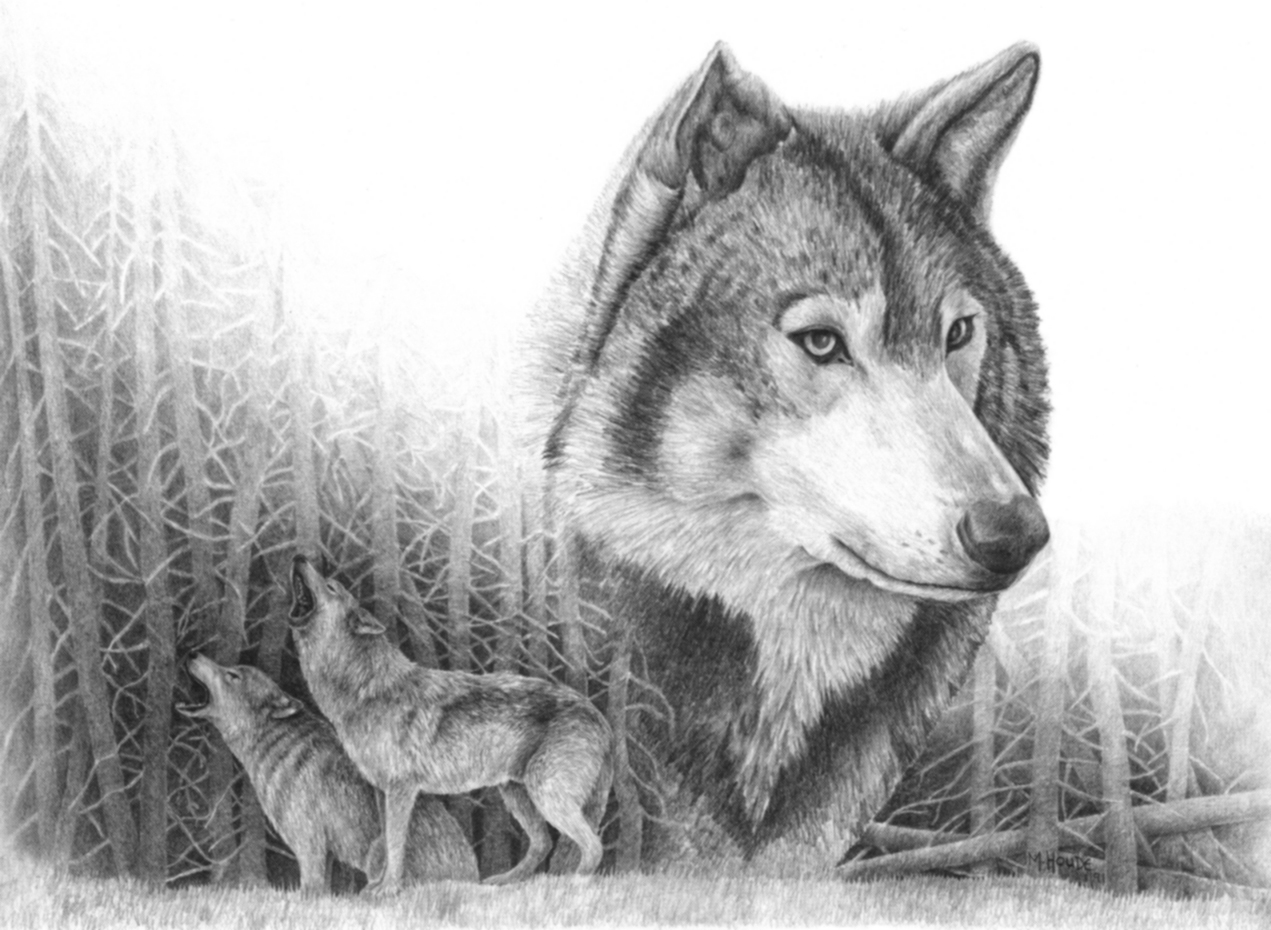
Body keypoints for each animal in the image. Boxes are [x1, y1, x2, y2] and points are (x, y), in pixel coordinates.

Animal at [181, 655, 478, 890]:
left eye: (232, 675)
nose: (194, 655)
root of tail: (473, 874)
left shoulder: (309, 846)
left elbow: (309, 892)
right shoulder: (326, 854)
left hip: (376, 858)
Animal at [287, 554, 614, 894]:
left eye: (331, 587)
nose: (300, 557)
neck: (365, 689)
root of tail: (599, 716)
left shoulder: (402, 788)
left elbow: (396, 844)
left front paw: (388, 890)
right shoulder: (382, 791)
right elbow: (387, 842)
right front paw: (376, 888)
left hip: (547, 795)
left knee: (593, 845)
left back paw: (574, 883)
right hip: (517, 795)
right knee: (543, 843)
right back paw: (504, 881)